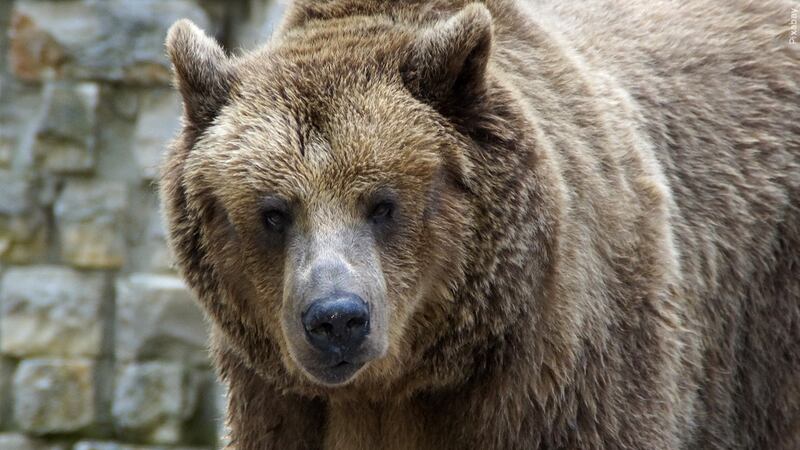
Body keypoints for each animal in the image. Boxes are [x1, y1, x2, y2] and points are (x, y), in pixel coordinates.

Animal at [159, 0, 800, 448]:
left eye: (382, 204)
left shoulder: (570, 381)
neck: (403, 383)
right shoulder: (280, 404)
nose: (337, 319)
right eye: (273, 212)